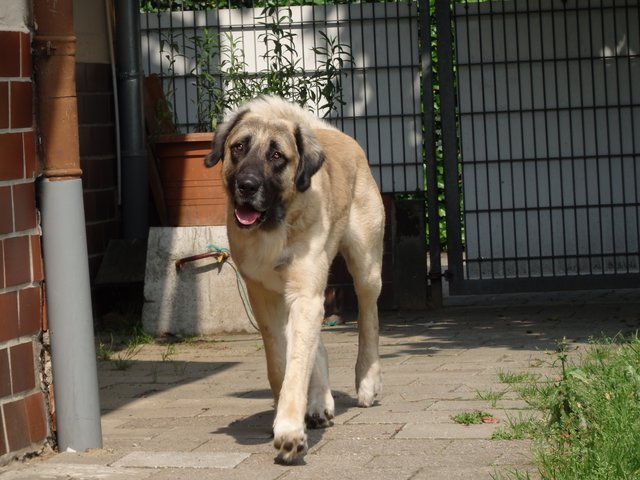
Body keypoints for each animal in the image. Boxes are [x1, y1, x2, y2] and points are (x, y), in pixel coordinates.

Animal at [205, 96, 384, 464]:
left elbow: (296, 367)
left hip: (366, 267)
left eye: (277, 156)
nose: (246, 185)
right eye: (238, 147)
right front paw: (291, 415)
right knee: (318, 346)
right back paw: (318, 405)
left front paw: (289, 431)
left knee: (368, 319)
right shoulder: (264, 297)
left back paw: (367, 383)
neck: (273, 227)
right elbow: (281, 365)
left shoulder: (306, 295)